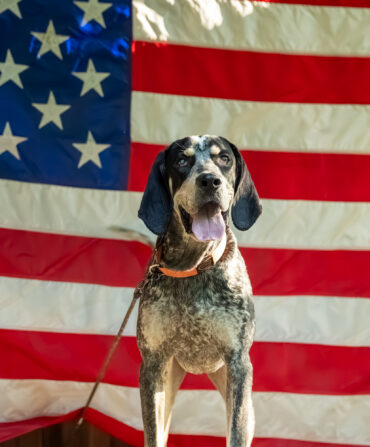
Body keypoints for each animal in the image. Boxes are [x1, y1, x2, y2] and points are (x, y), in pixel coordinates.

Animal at [137, 135, 264, 446]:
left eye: (224, 159)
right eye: (182, 160)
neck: (193, 267)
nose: (209, 180)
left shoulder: (238, 364)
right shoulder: (151, 365)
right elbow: (152, 435)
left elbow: (235, 434)